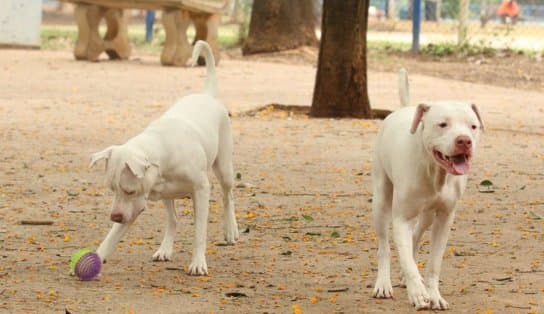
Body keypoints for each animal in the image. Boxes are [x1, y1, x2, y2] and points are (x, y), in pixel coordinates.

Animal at [89, 39, 238, 274]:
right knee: (173, 219)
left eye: (129, 190)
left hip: (224, 168)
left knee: (228, 196)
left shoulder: (201, 190)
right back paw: (165, 249)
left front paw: (198, 262)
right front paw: (96, 256)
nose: (114, 216)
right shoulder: (133, 206)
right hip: (168, 196)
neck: (161, 150)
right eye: (112, 190)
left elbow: (199, 232)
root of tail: (206, 95)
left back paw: (231, 229)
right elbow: (112, 236)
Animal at [372, 69, 482, 310]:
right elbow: (405, 259)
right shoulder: (401, 218)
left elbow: (433, 264)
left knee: (415, 235)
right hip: (381, 200)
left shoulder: (444, 218)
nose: (464, 141)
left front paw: (433, 294)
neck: (435, 172)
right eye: (442, 124)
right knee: (384, 246)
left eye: (473, 126)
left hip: (428, 215)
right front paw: (418, 294)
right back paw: (383, 283)